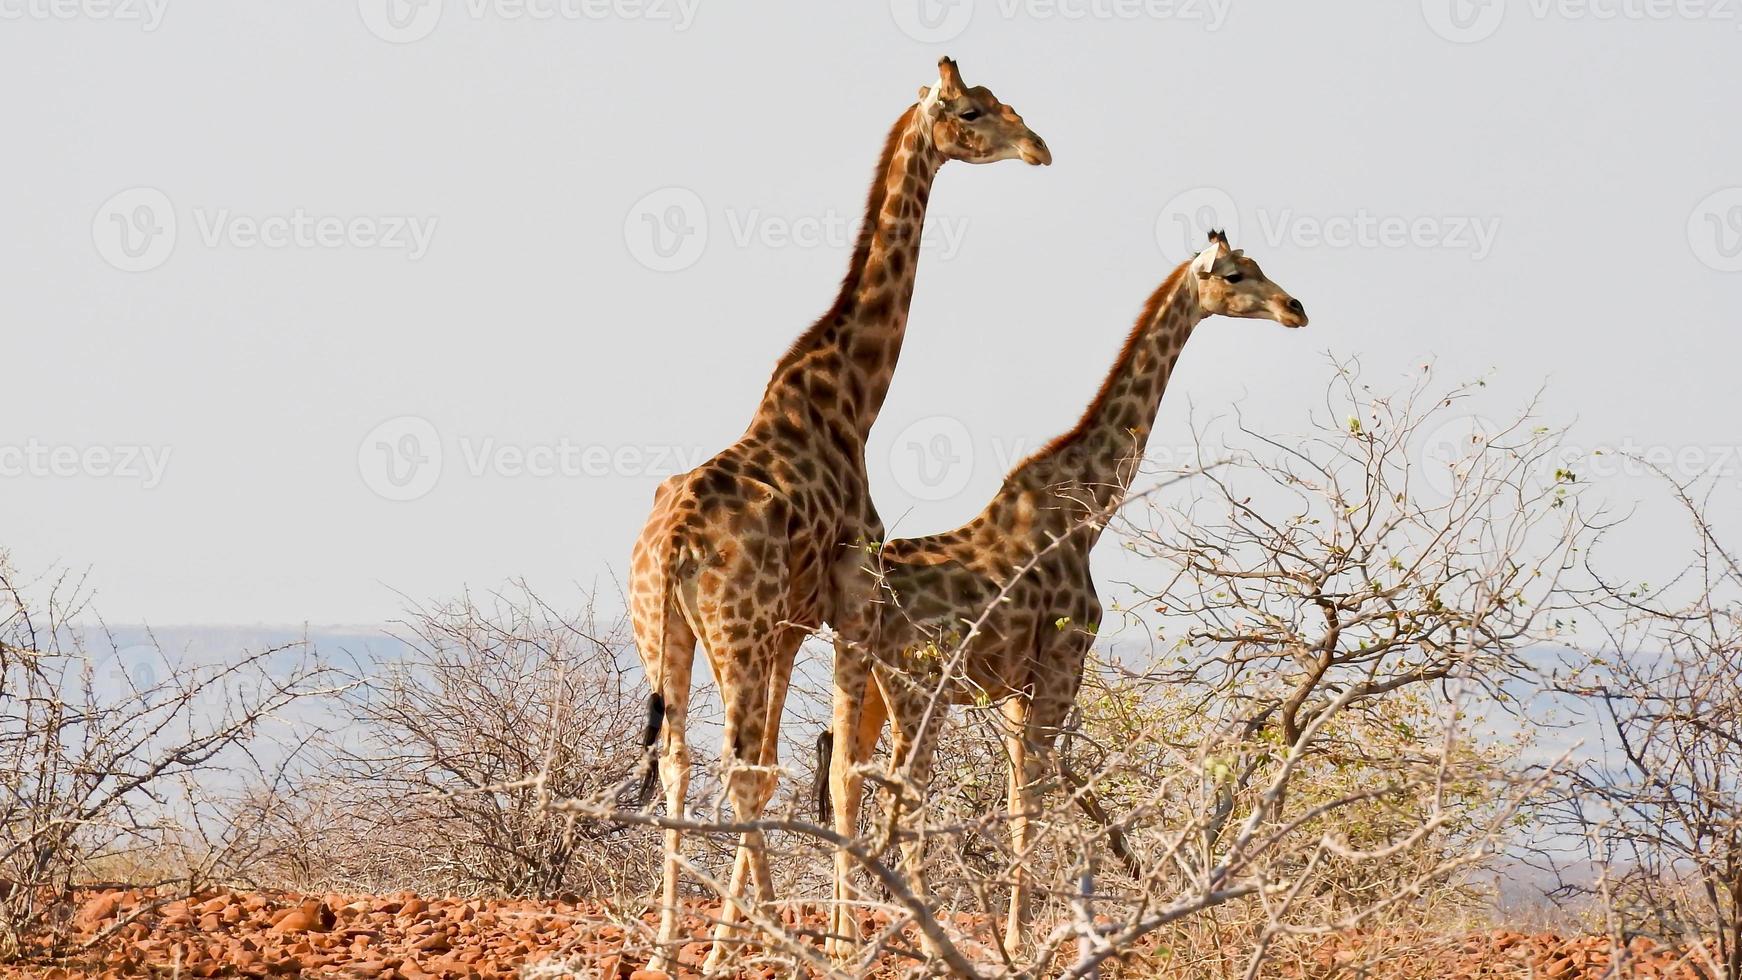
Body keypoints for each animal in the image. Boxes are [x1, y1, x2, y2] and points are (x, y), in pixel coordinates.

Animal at [634, 59, 1052, 974]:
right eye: (976, 112)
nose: (1040, 147)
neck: (851, 399)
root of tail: (675, 544)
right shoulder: (854, 600)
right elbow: (842, 772)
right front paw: (828, 932)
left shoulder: (795, 624)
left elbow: (796, 765)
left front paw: (766, 925)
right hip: (736, 630)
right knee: (731, 767)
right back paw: (736, 941)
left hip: (668, 631)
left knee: (684, 762)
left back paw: (670, 944)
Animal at [825, 229, 1309, 960]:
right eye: (1234, 274)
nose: (1295, 308)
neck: (1087, 515)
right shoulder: (1060, 668)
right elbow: (1032, 805)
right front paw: (1020, 938)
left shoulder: (1017, 688)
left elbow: (1022, 800)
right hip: (917, 691)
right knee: (902, 794)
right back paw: (918, 929)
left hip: (865, 686)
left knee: (843, 785)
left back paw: (841, 939)